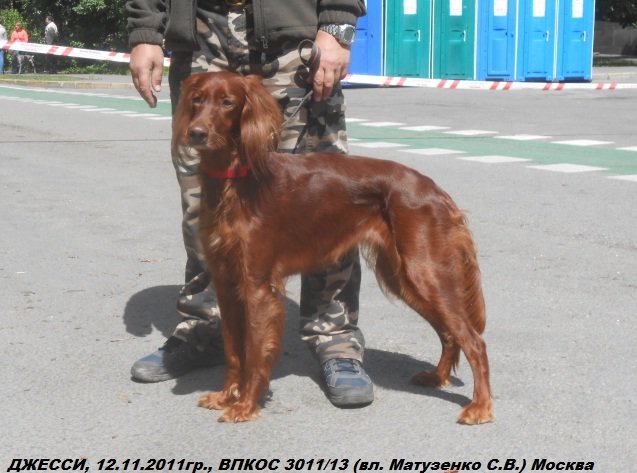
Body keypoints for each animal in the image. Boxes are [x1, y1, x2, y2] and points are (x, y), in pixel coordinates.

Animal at [172, 71, 493, 424]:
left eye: (228, 102)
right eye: (197, 99)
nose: (196, 132)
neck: (236, 180)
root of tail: (435, 190)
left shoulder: (257, 286)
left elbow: (255, 352)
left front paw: (245, 405)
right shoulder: (226, 282)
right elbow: (233, 350)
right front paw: (225, 395)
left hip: (425, 272)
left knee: (474, 341)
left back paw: (480, 406)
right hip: (405, 278)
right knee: (450, 334)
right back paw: (437, 377)